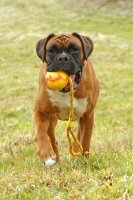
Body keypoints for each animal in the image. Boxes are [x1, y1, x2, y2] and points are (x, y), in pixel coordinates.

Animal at [33, 32, 99, 166]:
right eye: (51, 51)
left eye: (74, 49)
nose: (63, 58)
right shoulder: (41, 112)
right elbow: (40, 131)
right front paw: (46, 154)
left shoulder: (88, 115)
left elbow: (85, 139)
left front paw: (83, 160)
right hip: (51, 120)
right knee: (52, 139)